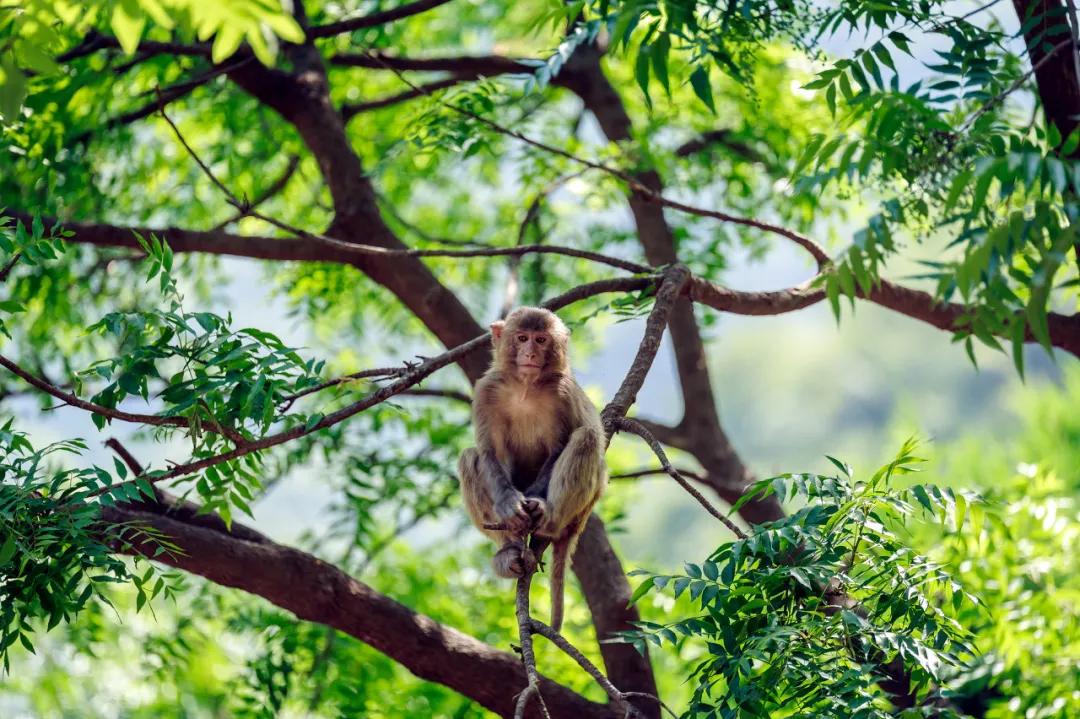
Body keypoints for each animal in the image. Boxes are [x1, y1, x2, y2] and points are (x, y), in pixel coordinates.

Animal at [455, 304, 609, 630]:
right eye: (522, 337)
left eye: (541, 340)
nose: (530, 353)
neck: (525, 387)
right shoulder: (486, 391)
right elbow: (490, 453)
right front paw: (509, 506)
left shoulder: (563, 393)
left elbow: (559, 447)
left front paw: (534, 503)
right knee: (469, 457)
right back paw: (510, 549)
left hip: (583, 503)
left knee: (587, 437)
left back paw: (547, 517)